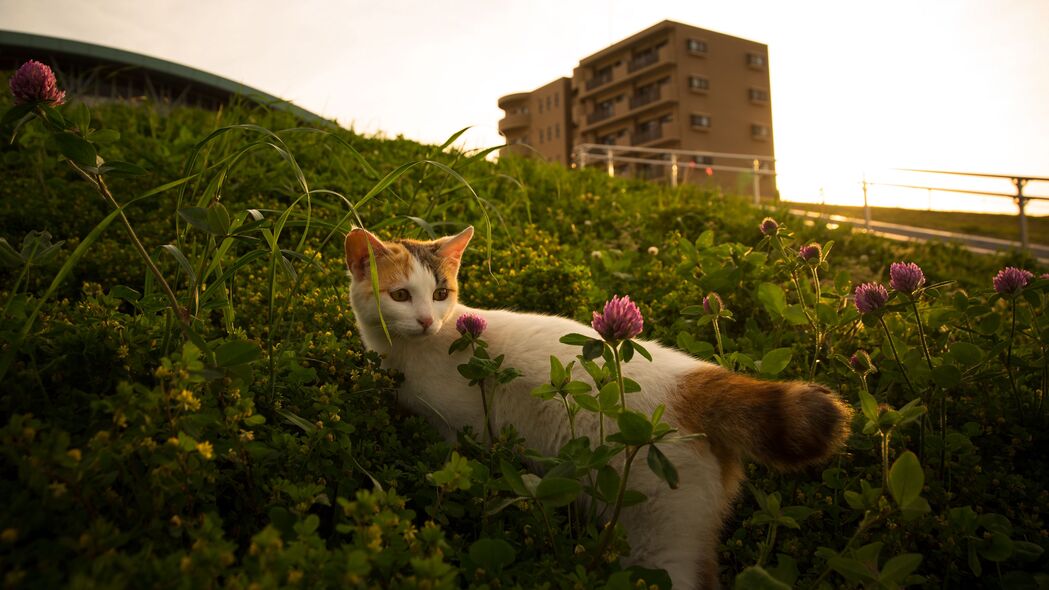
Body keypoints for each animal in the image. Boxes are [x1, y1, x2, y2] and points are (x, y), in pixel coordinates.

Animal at [344, 224, 851, 587]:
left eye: (440, 294)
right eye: (401, 295)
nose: (426, 320)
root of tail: (696, 382)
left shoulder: (462, 429)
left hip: (657, 537)